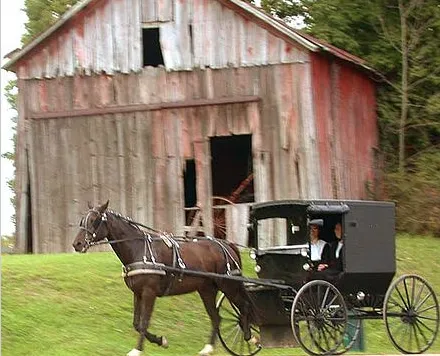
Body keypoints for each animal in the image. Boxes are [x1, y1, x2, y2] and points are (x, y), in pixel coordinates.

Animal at [72, 200, 256, 356]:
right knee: (216, 317)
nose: (77, 244)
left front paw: (138, 350)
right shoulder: (138, 293)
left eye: (94, 220)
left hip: (229, 285)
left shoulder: (149, 293)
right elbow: (137, 324)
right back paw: (208, 348)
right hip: (206, 290)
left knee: (245, 307)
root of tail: (226, 245)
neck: (139, 249)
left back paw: (250, 336)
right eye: (82, 220)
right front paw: (160, 341)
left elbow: (144, 322)